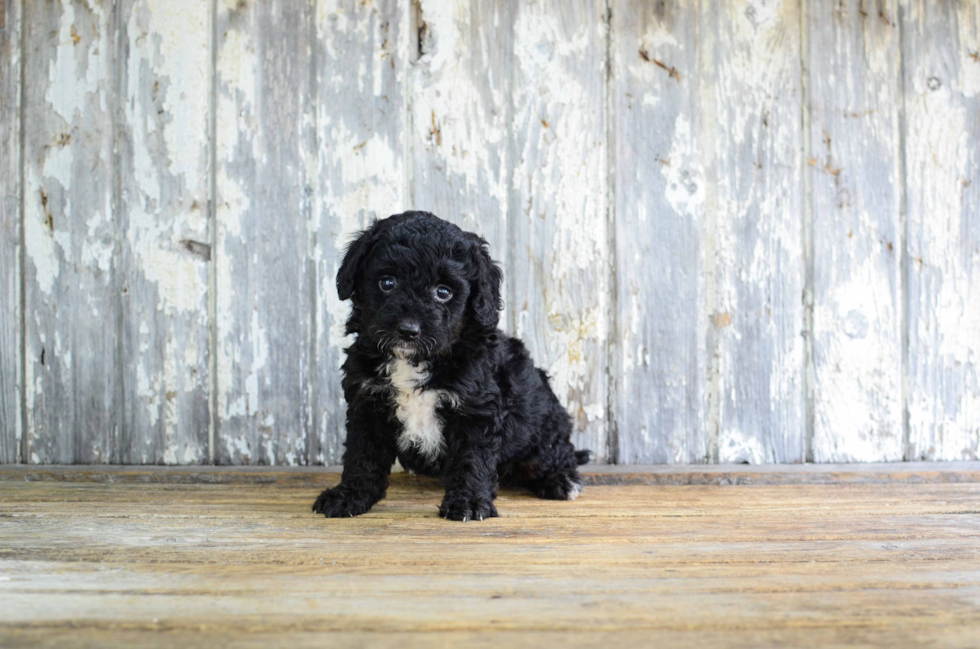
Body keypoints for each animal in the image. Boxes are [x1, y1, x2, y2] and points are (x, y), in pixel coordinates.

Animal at [314, 213, 588, 520]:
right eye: (387, 283)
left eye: (443, 292)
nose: (408, 330)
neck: (417, 360)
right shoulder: (367, 403)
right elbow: (362, 455)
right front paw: (350, 494)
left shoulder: (476, 410)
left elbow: (471, 459)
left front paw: (468, 502)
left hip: (541, 424)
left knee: (551, 454)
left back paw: (561, 480)